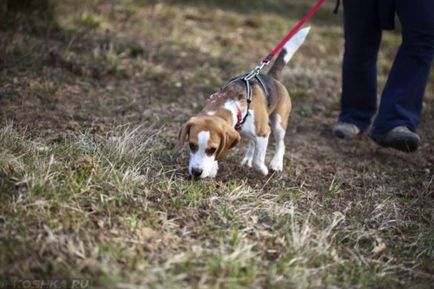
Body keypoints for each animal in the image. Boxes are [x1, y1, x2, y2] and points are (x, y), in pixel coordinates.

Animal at [177, 27, 312, 177]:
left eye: (212, 149)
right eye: (192, 145)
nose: (196, 172)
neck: (230, 101)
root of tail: (272, 77)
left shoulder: (264, 132)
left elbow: (258, 160)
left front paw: (263, 170)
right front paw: (213, 169)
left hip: (279, 123)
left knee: (280, 144)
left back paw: (276, 163)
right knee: (253, 143)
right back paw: (248, 157)